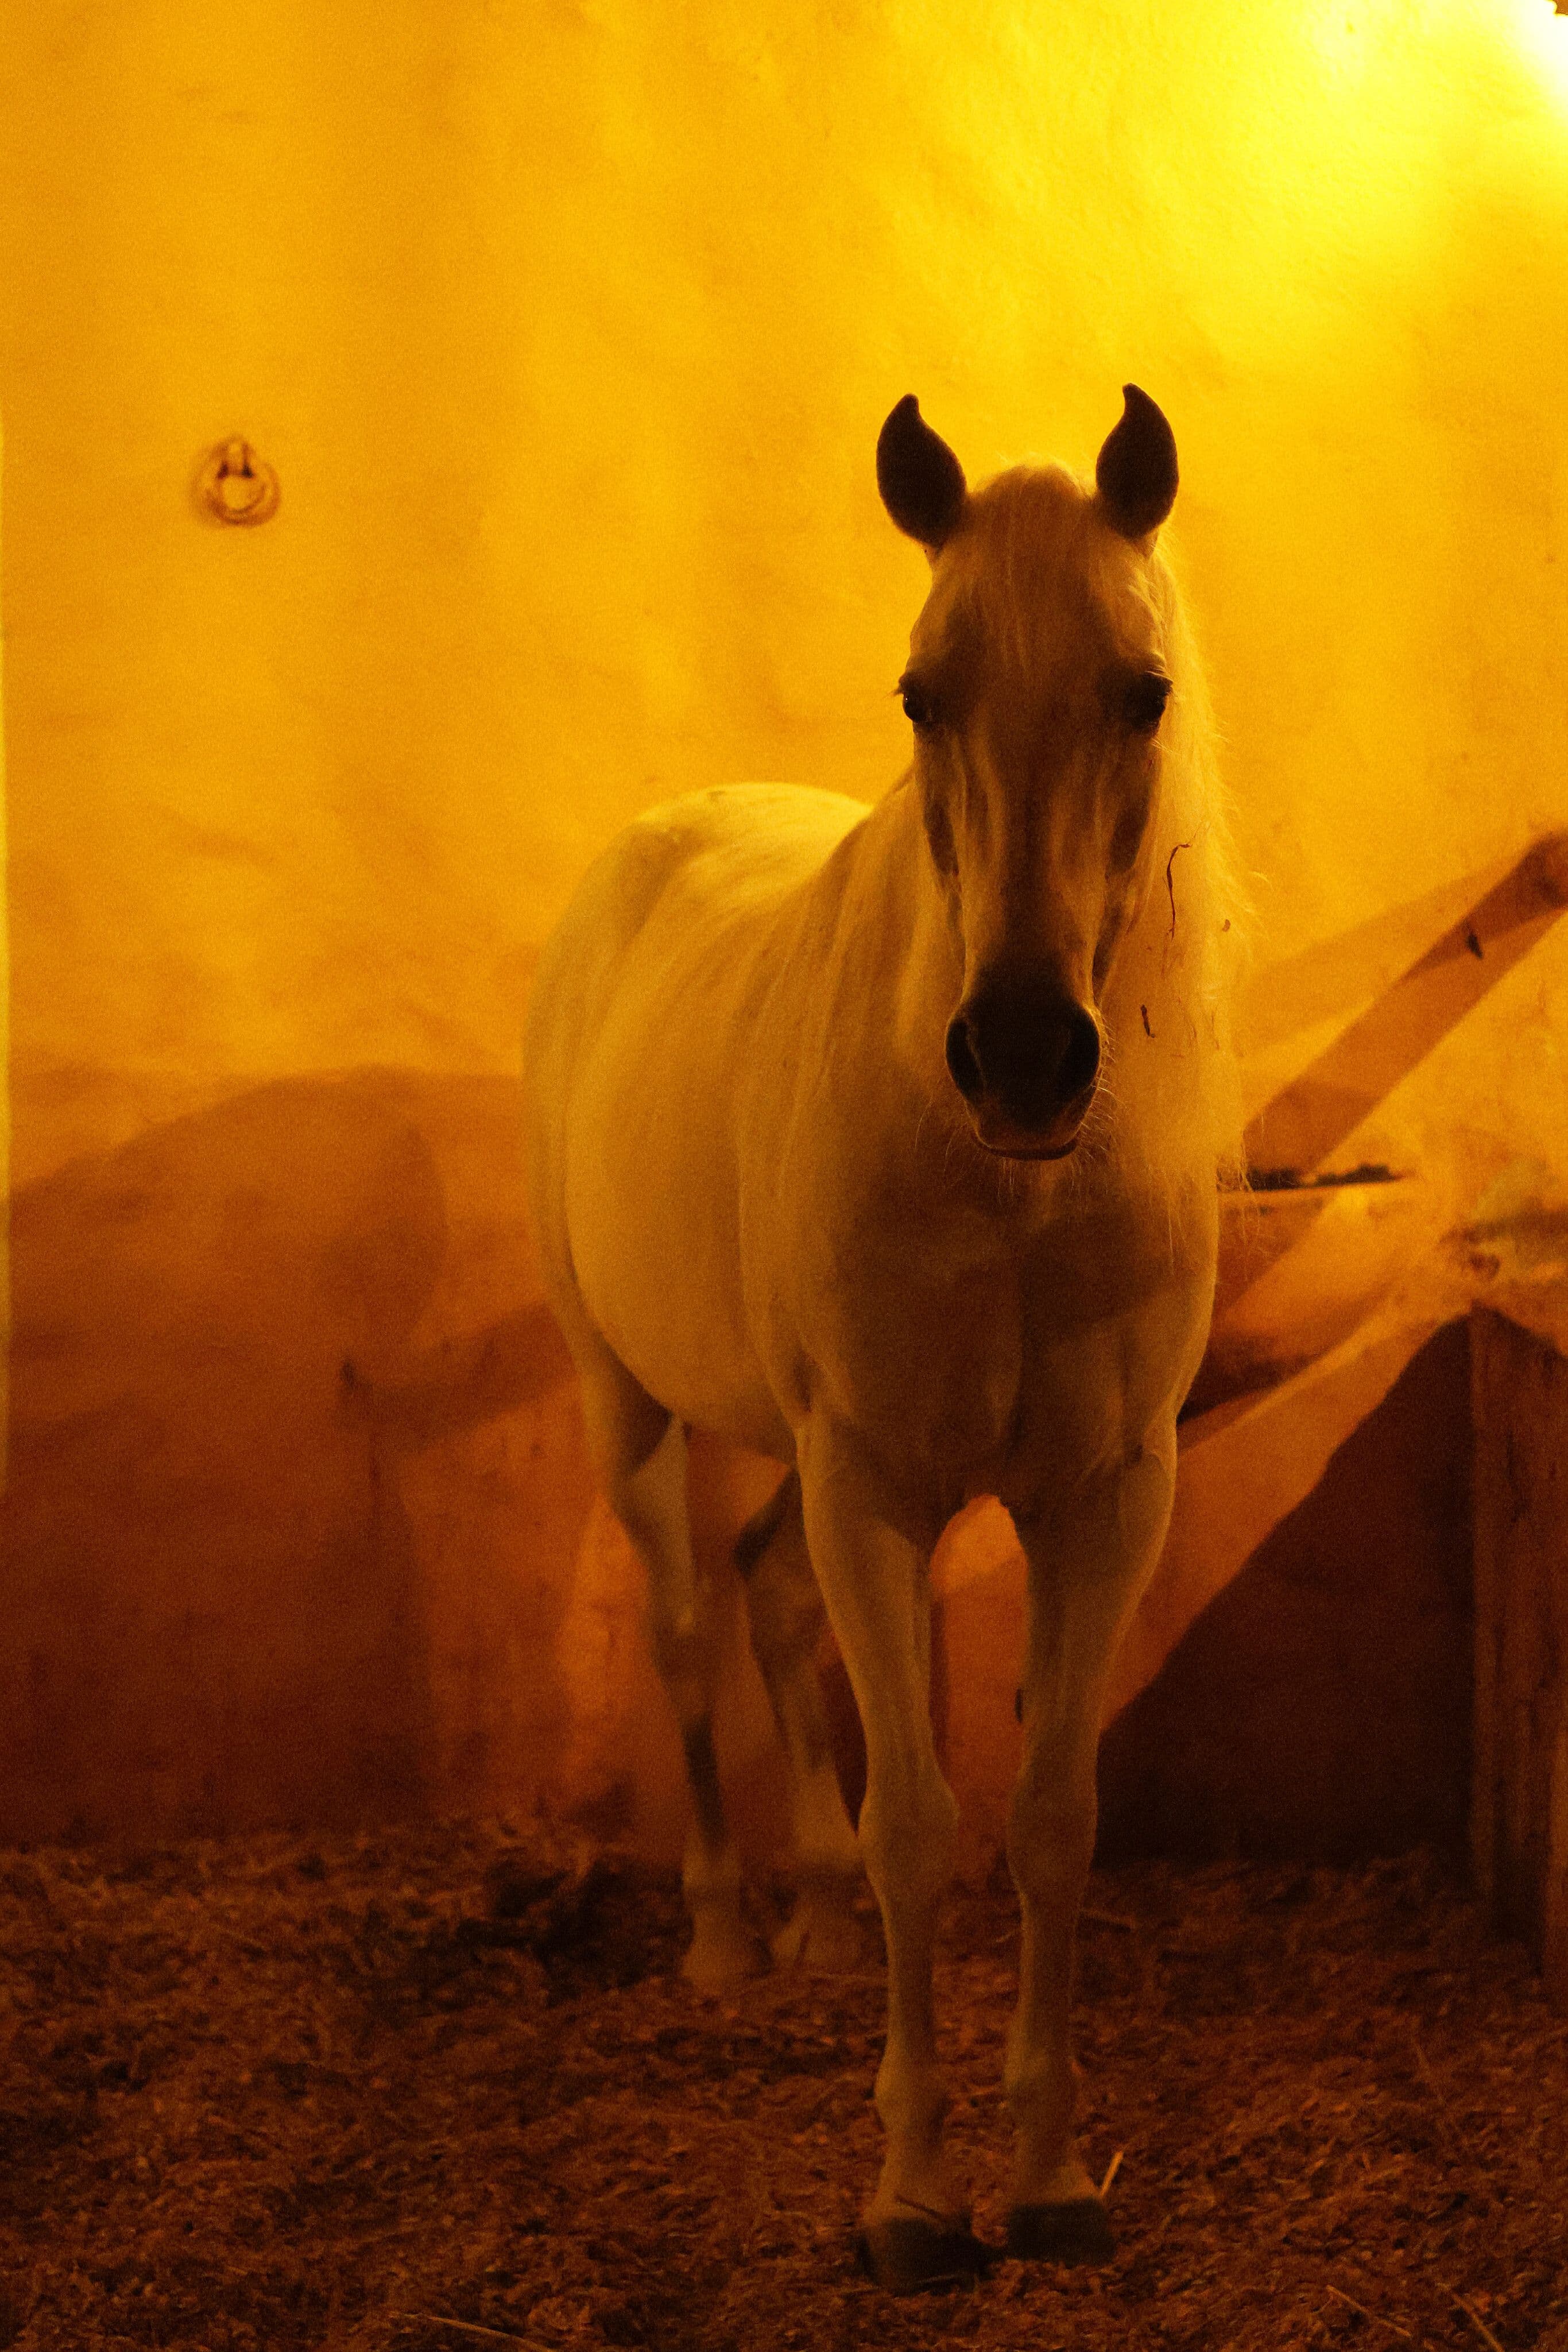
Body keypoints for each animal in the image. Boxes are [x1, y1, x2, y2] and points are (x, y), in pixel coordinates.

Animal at [523, 385, 1238, 2289]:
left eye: (1140, 688)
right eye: (924, 691)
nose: (1025, 1056)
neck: (1004, 1182)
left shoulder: (1099, 1500)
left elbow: (1048, 1818)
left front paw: (1046, 2181)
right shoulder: (873, 1487)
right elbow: (918, 1817)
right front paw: (914, 2201)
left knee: (767, 1598)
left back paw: (819, 1928)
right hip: (627, 1403)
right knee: (691, 1623)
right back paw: (722, 1936)